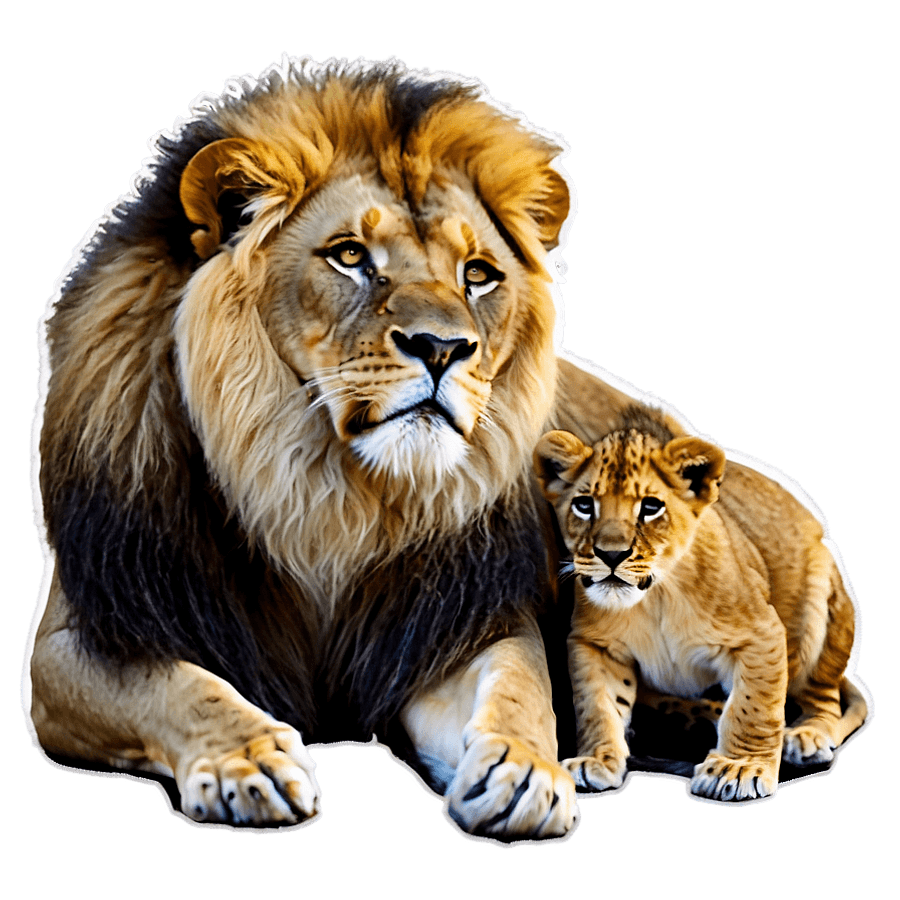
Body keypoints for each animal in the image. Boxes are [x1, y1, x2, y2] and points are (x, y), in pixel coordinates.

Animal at [534, 410, 869, 802]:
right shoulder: (595, 644)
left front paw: (739, 768)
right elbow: (598, 706)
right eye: (584, 505)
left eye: (651, 507)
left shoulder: (762, 634)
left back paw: (807, 736)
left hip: (820, 607)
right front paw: (595, 760)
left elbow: (753, 707)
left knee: (823, 699)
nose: (611, 555)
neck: (655, 599)